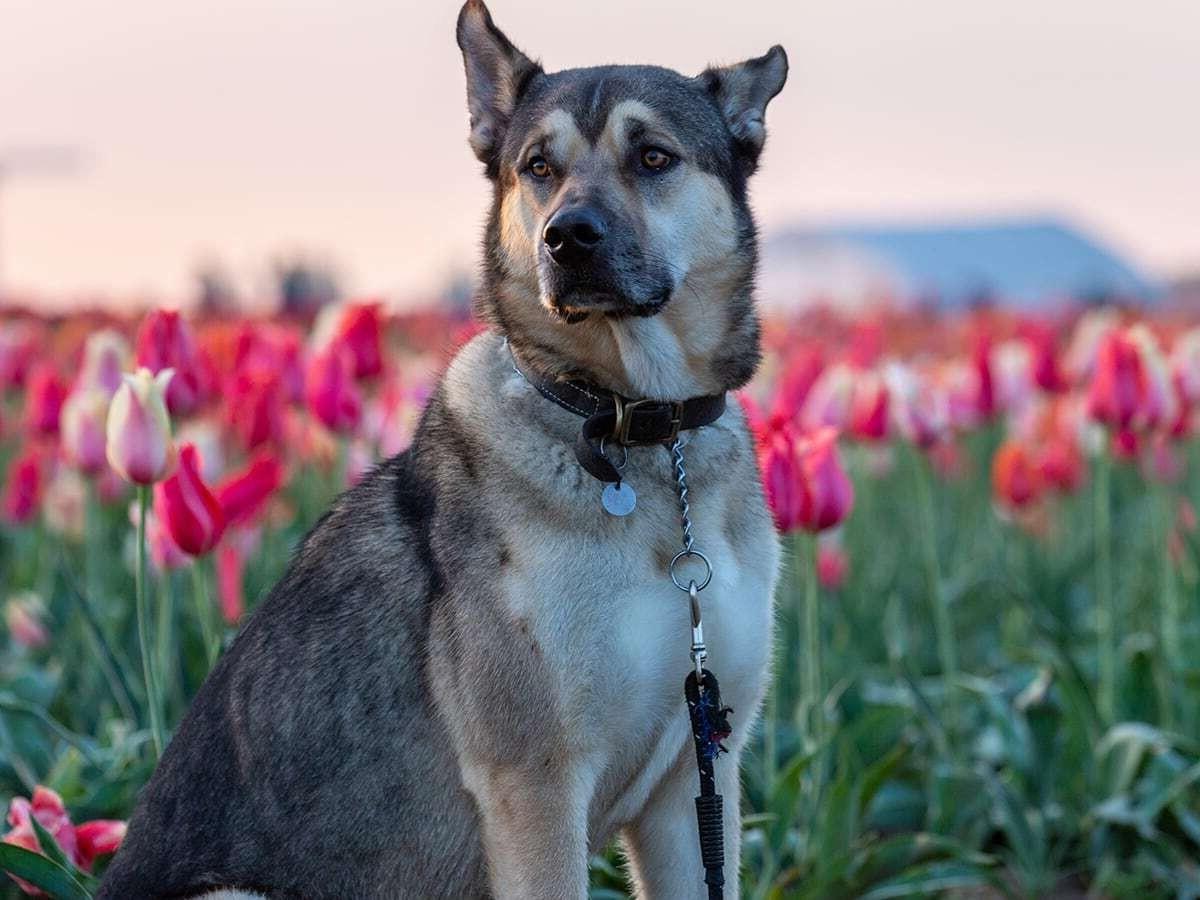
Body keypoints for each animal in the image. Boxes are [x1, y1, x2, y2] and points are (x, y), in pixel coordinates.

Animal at [96, 3, 787, 897]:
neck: (638, 427)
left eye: (654, 157)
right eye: (537, 166)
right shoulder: (537, 783)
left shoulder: (697, 776)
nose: (569, 238)